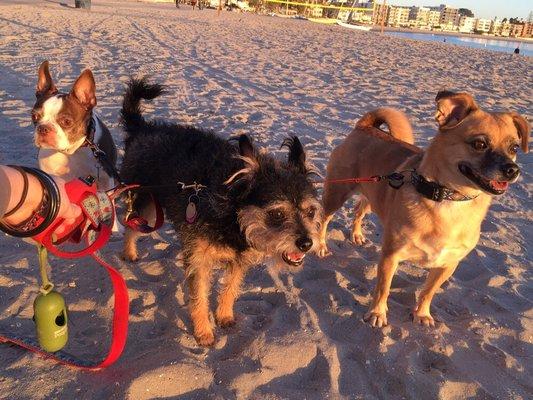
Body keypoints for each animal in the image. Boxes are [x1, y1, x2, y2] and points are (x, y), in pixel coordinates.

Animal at [119, 79, 322, 346]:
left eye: (310, 212)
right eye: (277, 214)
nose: (307, 243)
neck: (231, 213)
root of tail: (142, 128)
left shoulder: (239, 261)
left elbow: (230, 288)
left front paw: (224, 315)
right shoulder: (200, 262)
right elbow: (199, 297)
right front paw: (203, 331)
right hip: (147, 204)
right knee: (130, 225)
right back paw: (129, 252)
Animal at [318, 92, 528, 330]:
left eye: (514, 148)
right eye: (480, 144)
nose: (512, 170)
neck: (448, 199)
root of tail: (365, 127)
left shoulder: (448, 265)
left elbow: (428, 292)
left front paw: (422, 313)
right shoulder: (390, 257)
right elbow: (383, 289)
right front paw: (377, 313)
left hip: (371, 193)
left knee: (359, 210)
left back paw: (356, 234)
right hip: (337, 193)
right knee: (324, 219)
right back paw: (321, 246)